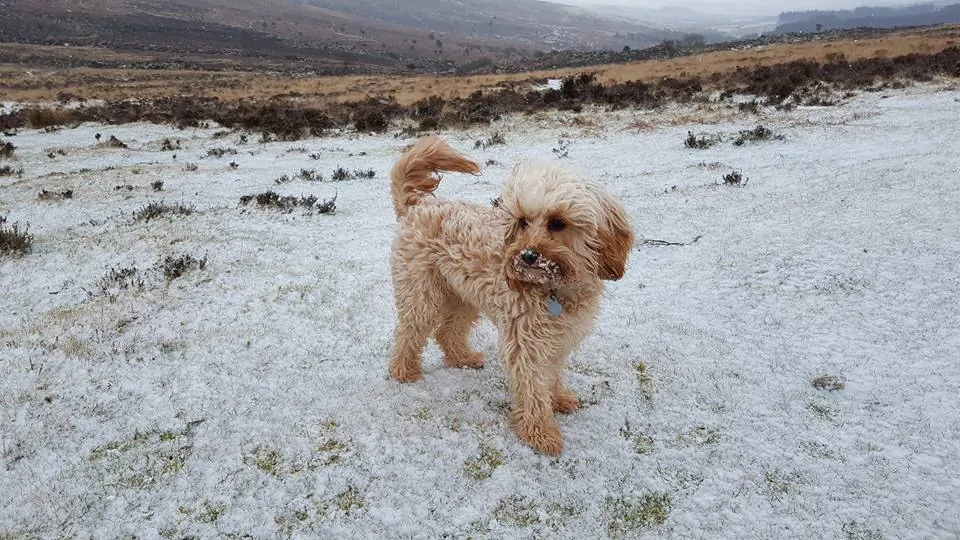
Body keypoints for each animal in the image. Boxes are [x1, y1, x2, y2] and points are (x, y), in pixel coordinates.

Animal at [386, 133, 632, 454]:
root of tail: (418, 207)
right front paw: (541, 433)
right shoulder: (525, 341)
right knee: (409, 333)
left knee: (447, 332)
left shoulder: (558, 340)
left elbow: (551, 375)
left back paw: (463, 357)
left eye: (558, 222)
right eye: (523, 221)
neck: (555, 289)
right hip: (421, 294)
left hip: (463, 296)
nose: (527, 256)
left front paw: (558, 399)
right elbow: (532, 387)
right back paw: (403, 372)